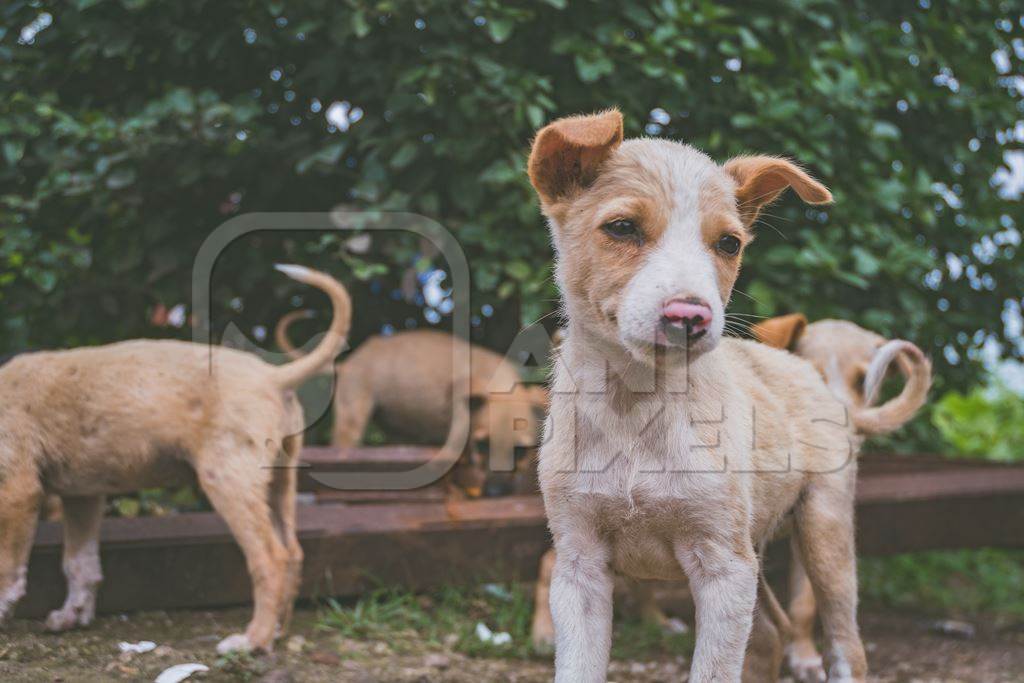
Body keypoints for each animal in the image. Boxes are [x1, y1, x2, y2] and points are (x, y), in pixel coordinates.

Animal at [0, 264, 352, 655]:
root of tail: (272, 376)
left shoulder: (17, 492)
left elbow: (9, 567)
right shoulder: (83, 496)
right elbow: (80, 564)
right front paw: (72, 615)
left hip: (228, 480)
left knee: (269, 558)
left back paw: (252, 640)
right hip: (279, 481)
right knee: (292, 552)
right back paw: (275, 632)